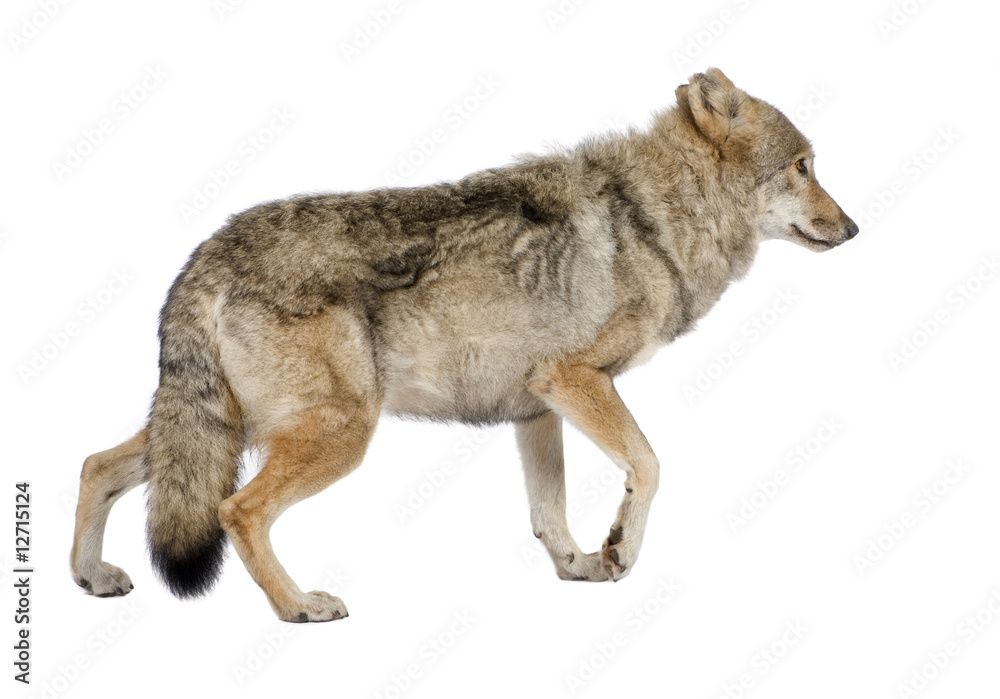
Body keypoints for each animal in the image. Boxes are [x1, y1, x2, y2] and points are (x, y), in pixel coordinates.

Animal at [70, 68, 858, 622]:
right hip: (331, 436)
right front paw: (620, 549)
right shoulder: (578, 381)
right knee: (236, 511)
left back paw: (90, 577)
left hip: (218, 432)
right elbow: (650, 465)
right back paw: (299, 606)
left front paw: (578, 565)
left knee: (95, 464)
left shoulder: (537, 407)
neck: (652, 218)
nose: (853, 228)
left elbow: (549, 513)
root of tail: (204, 256)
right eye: (803, 166)